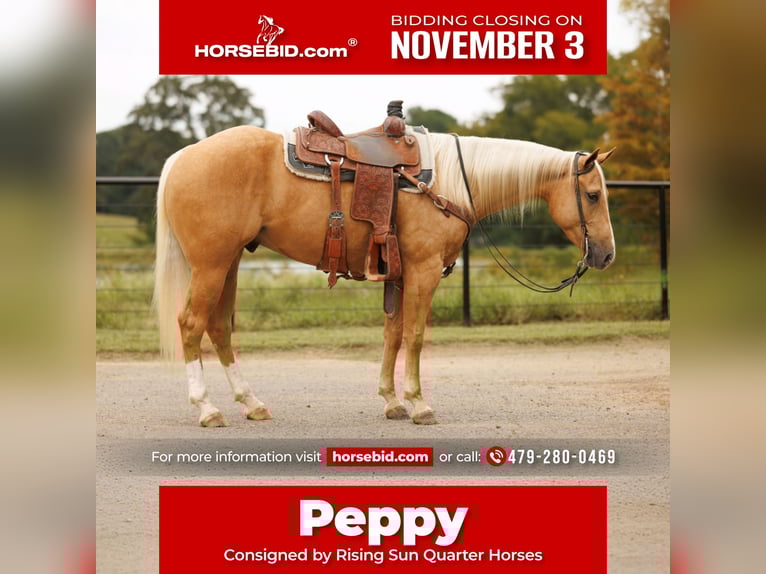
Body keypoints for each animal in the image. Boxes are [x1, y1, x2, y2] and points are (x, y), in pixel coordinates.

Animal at [153, 125, 615, 427]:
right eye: (593, 195)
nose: (606, 254)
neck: (451, 181)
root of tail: (184, 155)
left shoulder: (400, 274)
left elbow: (392, 334)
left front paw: (392, 401)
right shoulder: (424, 270)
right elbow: (415, 335)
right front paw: (418, 404)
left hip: (228, 263)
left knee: (218, 327)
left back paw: (251, 403)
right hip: (212, 265)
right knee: (191, 324)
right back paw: (207, 409)